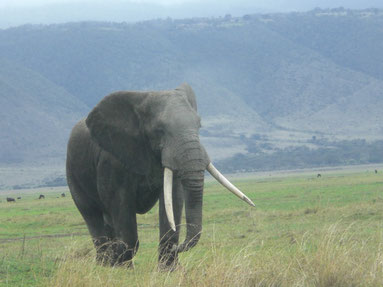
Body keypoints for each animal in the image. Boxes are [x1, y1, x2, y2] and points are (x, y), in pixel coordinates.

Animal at [66, 82, 255, 270]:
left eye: (199, 125)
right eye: (159, 130)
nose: (177, 247)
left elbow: (173, 198)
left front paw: (169, 270)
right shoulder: (112, 159)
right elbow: (120, 202)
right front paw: (123, 269)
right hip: (72, 174)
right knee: (91, 214)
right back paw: (105, 264)